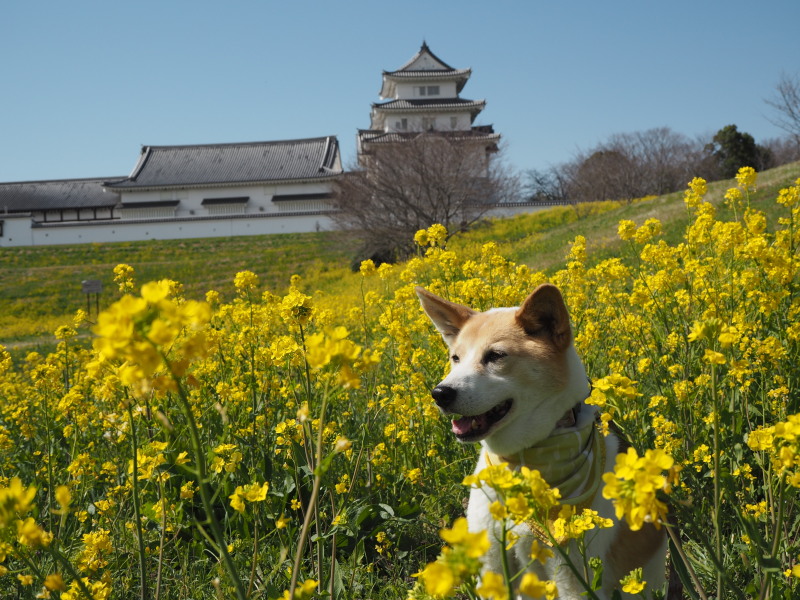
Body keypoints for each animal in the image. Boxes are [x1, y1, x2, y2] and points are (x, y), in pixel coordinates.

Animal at [416, 284, 664, 600]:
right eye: (455, 358)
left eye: (496, 355)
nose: (440, 394)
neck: (523, 463)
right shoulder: (492, 563)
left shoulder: (572, 578)